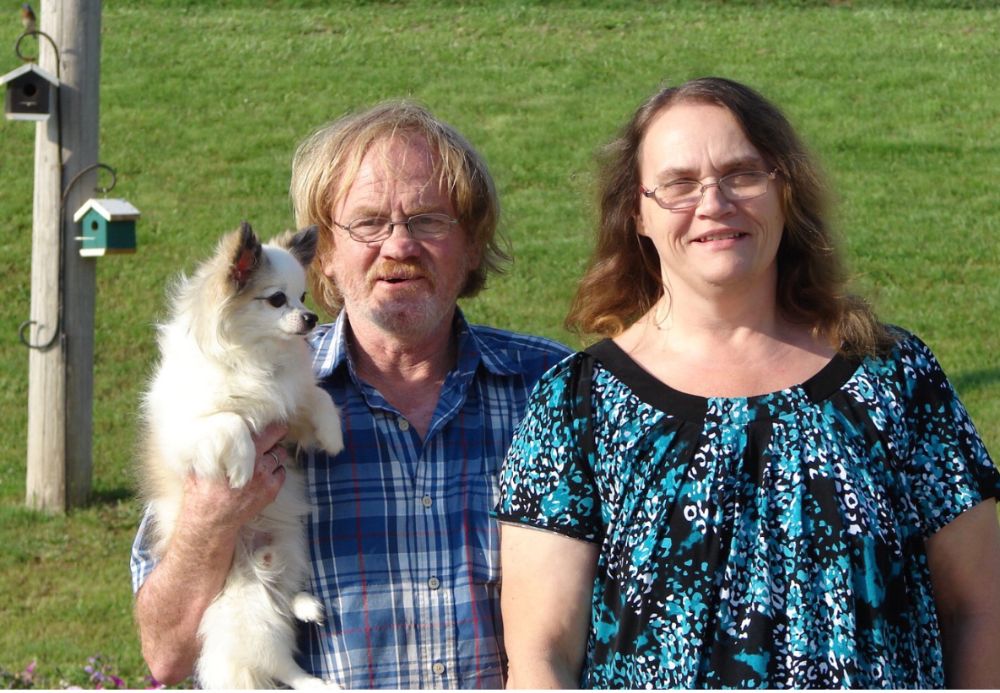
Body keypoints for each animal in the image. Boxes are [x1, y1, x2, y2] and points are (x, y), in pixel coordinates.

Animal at [139, 221, 343, 689]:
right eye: (277, 299)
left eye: (303, 297)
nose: (310, 319)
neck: (255, 358)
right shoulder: (190, 432)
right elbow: (231, 422)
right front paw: (243, 469)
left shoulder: (288, 412)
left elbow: (318, 397)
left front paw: (333, 436)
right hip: (246, 610)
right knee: (279, 662)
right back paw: (319, 681)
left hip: (290, 550)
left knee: (286, 600)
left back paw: (307, 605)